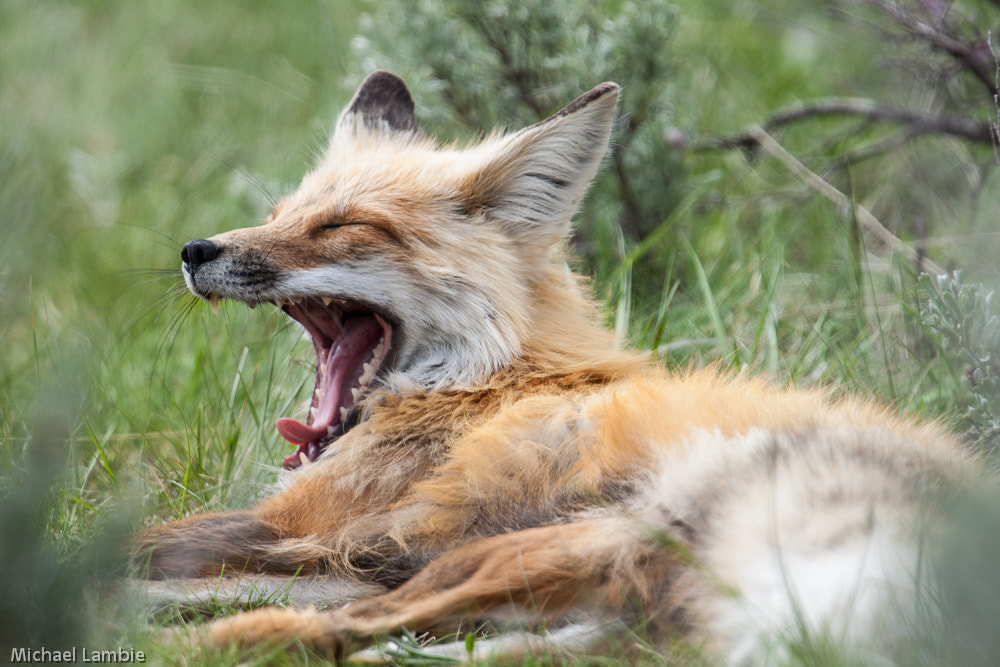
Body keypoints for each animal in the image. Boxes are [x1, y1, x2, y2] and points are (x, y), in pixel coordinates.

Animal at [137, 72, 980, 664]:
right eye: (280, 214)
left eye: (343, 226)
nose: (194, 250)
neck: (486, 383)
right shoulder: (341, 546)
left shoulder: (309, 524)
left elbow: (134, 549)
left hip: (549, 551)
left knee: (327, 634)